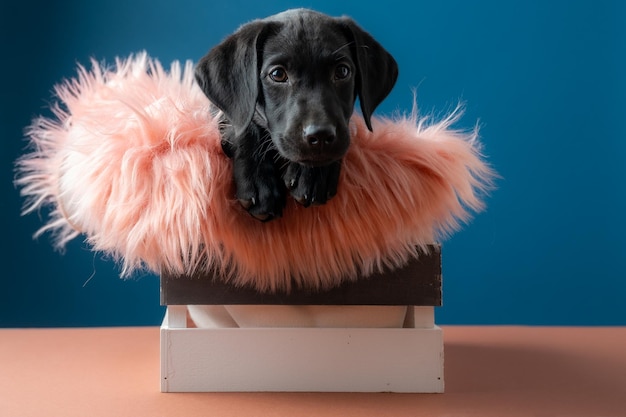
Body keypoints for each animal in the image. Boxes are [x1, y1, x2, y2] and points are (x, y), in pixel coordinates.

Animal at [195, 8, 398, 221]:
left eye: (342, 71)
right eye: (277, 74)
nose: (320, 136)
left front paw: (314, 175)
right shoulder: (222, 113)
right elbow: (243, 125)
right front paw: (260, 180)